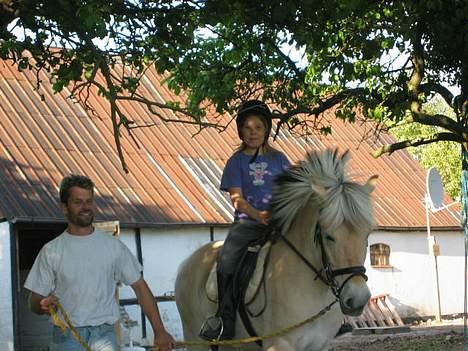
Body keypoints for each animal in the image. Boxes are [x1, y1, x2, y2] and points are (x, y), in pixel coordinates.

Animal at [175, 149, 376, 351]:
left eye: (367, 235)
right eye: (329, 237)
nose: (357, 299)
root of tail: (188, 262)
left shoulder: (321, 345)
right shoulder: (279, 343)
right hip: (196, 339)